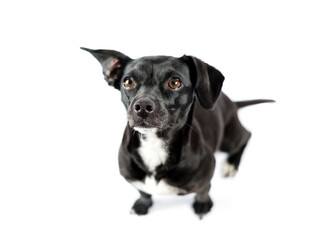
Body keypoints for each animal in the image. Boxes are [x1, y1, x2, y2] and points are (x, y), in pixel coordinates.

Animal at [82, 47, 276, 219]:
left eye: (174, 82)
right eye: (128, 82)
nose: (142, 106)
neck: (154, 145)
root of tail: (232, 103)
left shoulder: (206, 177)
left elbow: (204, 191)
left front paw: (203, 205)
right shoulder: (135, 180)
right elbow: (144, 192)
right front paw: (142, 205)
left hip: (229, 140)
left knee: (247, 135)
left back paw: (231, 165)